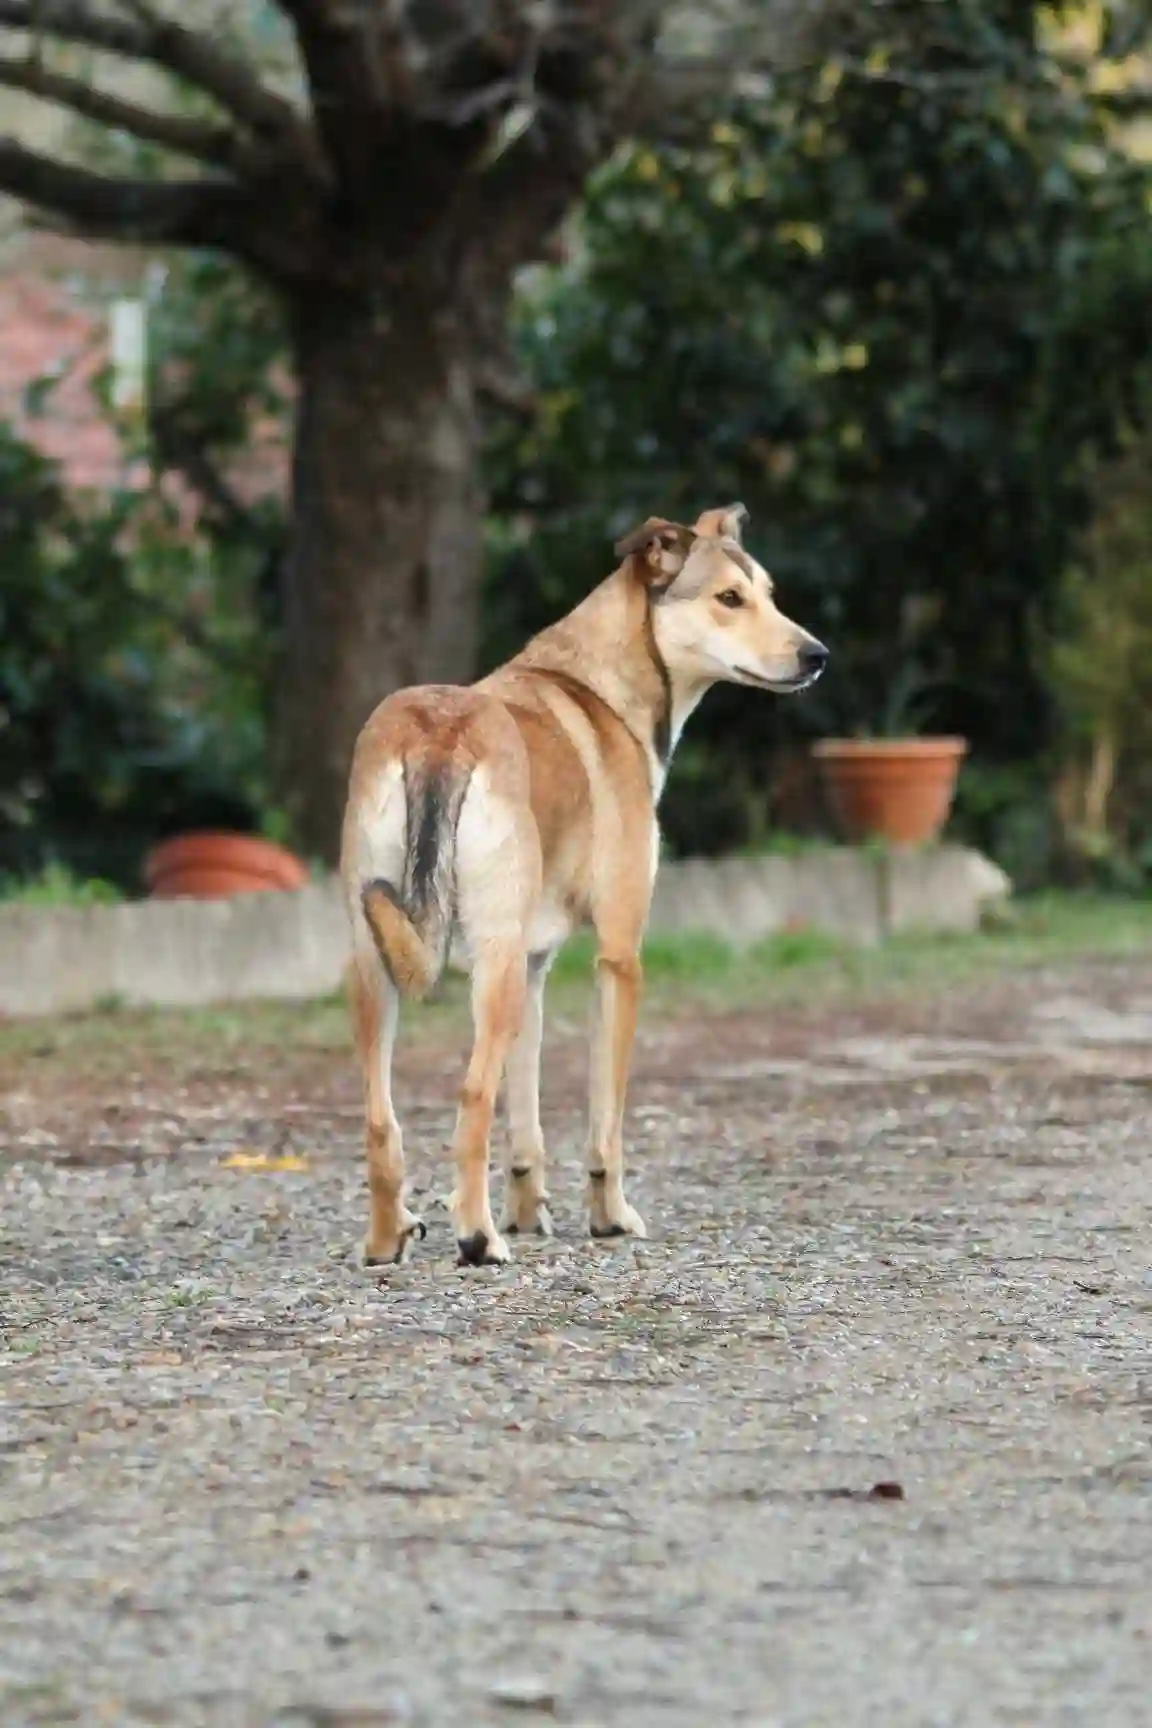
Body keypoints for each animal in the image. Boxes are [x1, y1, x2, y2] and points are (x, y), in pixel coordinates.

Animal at [341, 504, 829, 1264]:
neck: (605, 685)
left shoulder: (534, 971)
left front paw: (527, 1210)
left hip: (382, 960)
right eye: (729, 599)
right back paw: (477, 1239)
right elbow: (606, 1121)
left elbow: (527, 1117)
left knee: (379, 1114)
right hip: (490, 969)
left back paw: (390, 1236)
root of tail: (440, 733)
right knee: (471, 1095)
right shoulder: (618, 960)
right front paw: (609, 1216)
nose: (817, 656)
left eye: (770, 593)